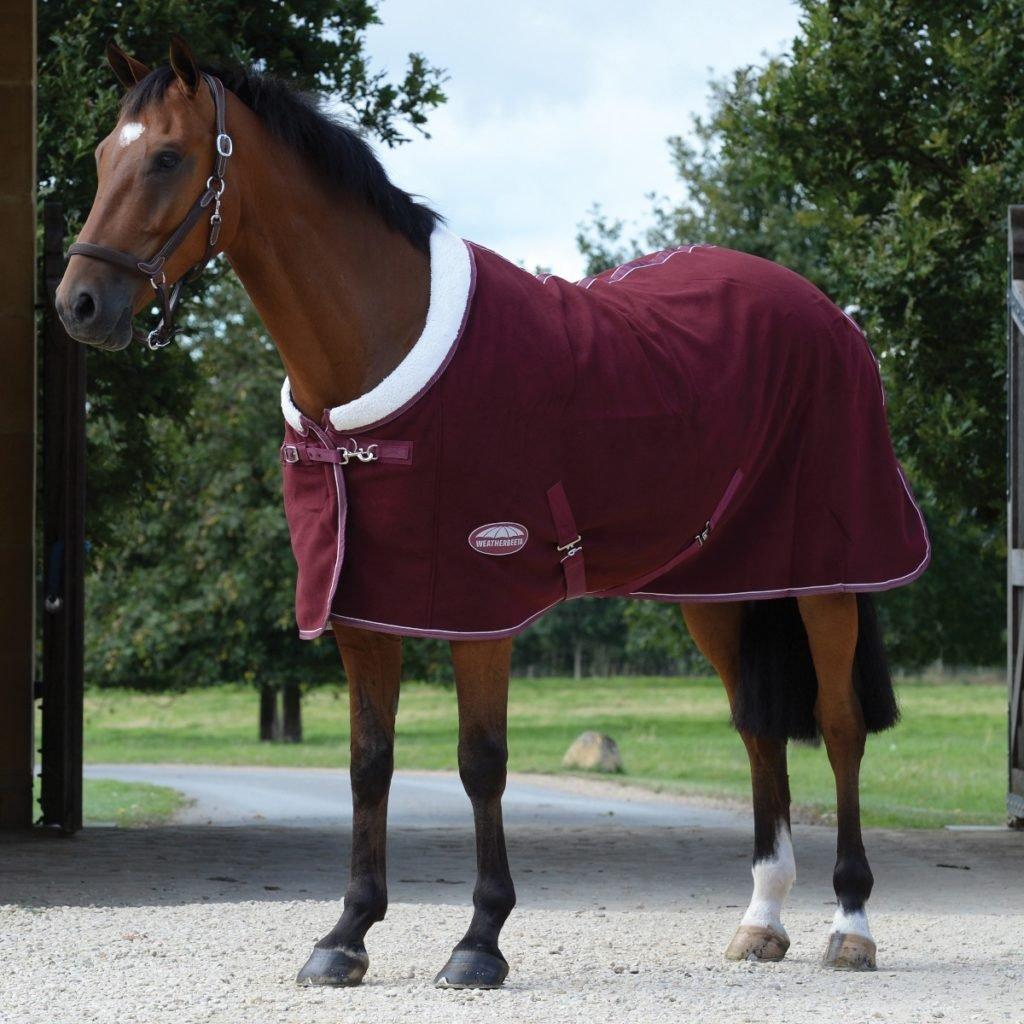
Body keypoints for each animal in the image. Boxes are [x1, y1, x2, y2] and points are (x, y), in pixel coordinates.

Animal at [56, 38, 929, 988]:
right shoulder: (363, 609)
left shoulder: (481, 607)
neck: (381, 354)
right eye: (100, 156)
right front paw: (345, 935)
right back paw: (761, 919)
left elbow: (480, 764)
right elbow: (369, 764)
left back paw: (851, 924)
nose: (79, 304)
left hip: (827, 579)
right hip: (721, 590)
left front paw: (480, 939)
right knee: (759, 731)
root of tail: (828, 315)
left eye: (168, 157)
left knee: (840, 727)